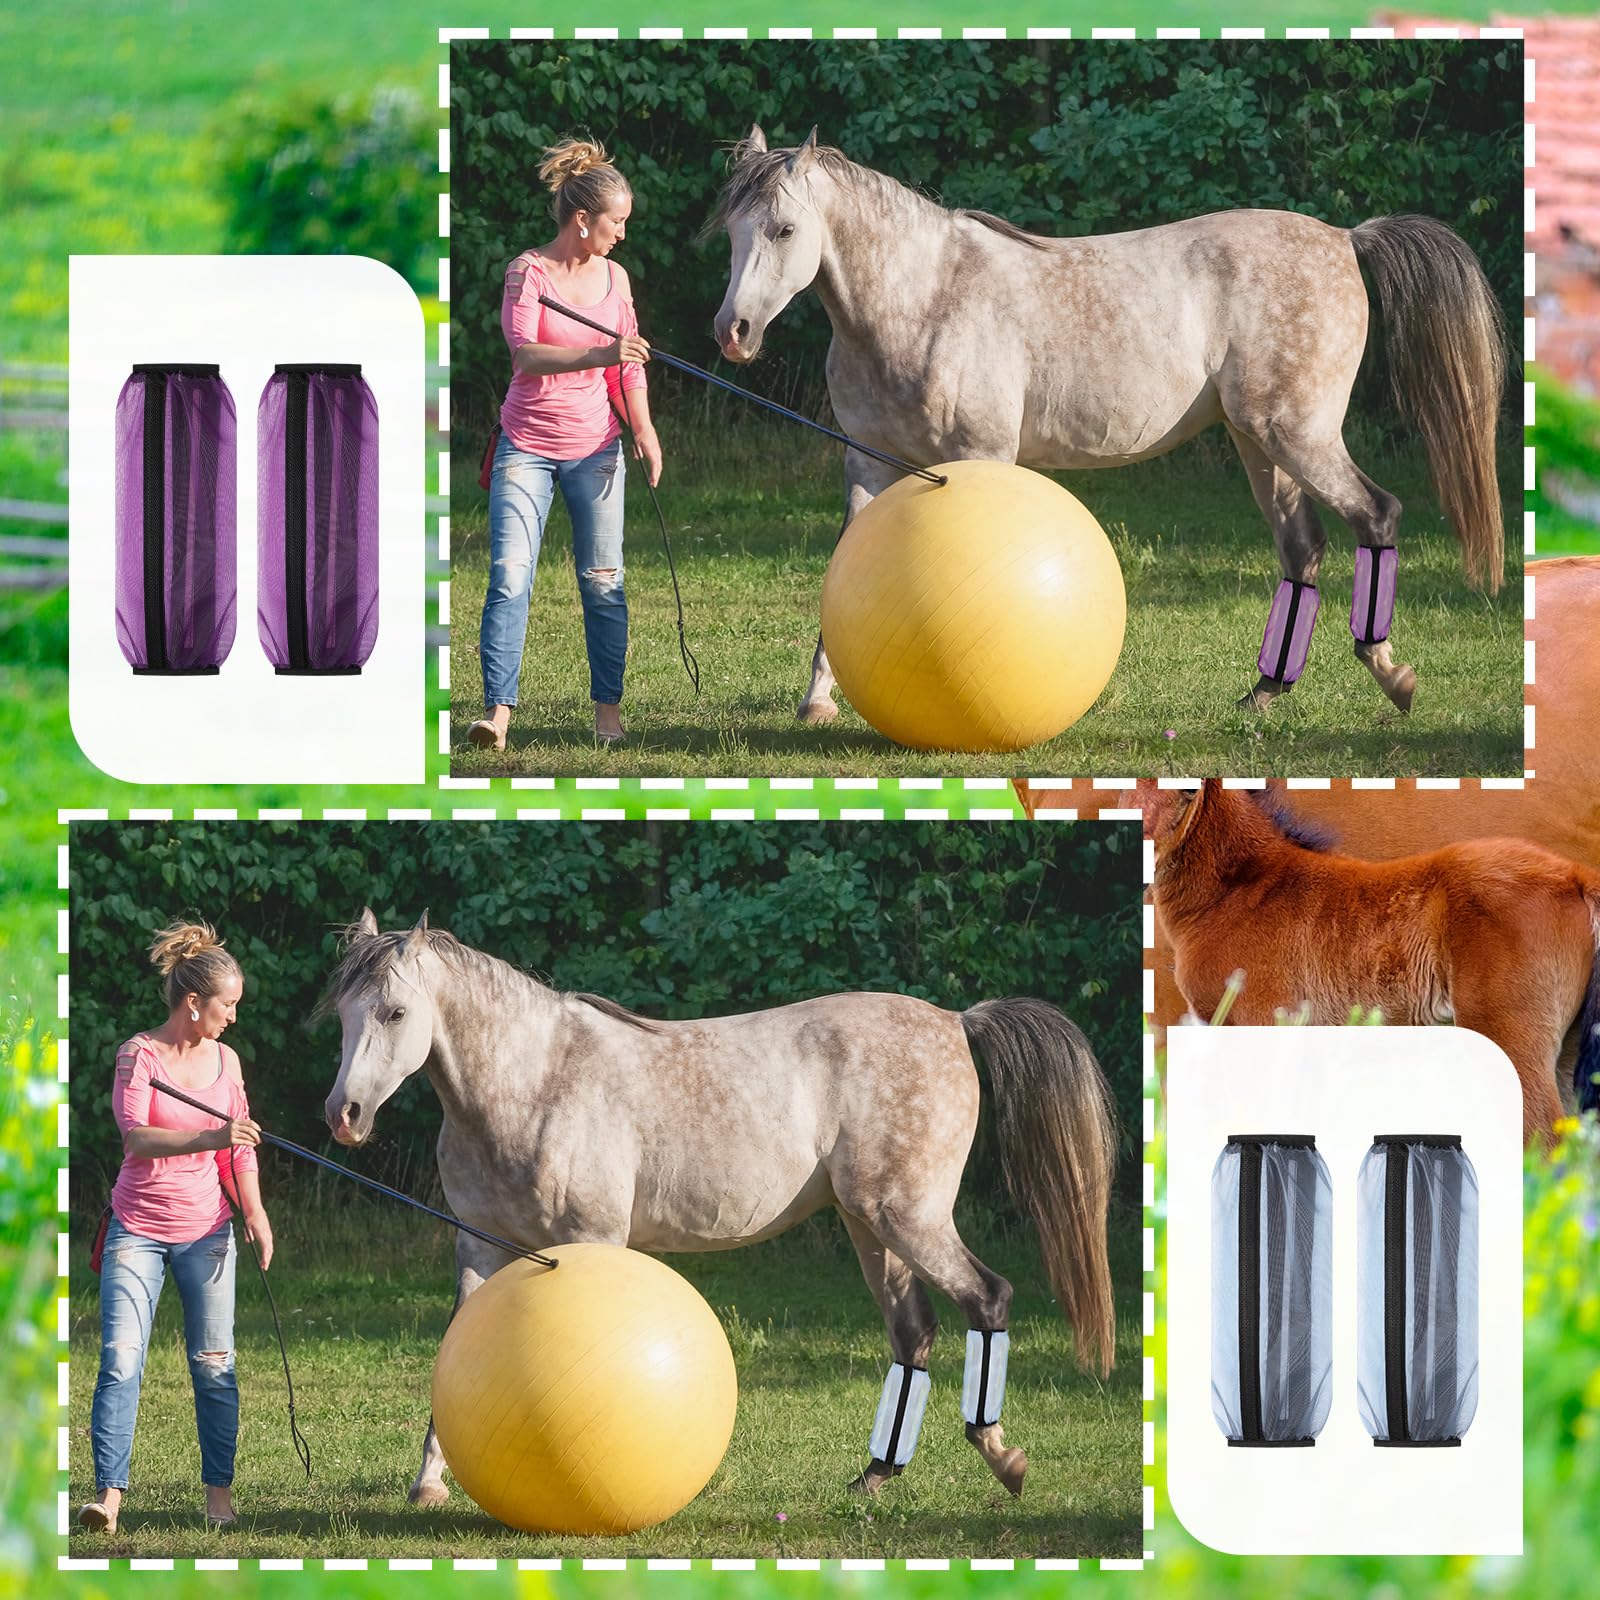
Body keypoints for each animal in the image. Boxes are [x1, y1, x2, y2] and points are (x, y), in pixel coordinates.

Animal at [317, 910, 1119, 1509]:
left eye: (396, 1011)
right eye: (343, 1015)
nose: (344, 1115)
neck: (534, 1082)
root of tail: (957, 1020)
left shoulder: (591, 1238)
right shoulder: (479, 1246)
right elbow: (453, 1350)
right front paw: (428, 1484)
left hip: (909, 1218)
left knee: (989, 1297)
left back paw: (1003, 1460)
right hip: (871, 1228)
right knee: (914, 1332)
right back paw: (874, 1477)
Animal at [709, 127, 1507, 723]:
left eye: (785, 229)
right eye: (733, 232)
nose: (733, 332)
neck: (923, 299)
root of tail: (1346, 237)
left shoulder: (979, 455)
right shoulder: (868, 463)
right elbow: (843, 566)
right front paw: (818, 700)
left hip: (1298, 435)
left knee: (1377, 513)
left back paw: (1391, 675)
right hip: (1260, 444)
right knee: (1303, 547)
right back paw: (1265, 692)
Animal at [1148, 780, 1600, 1146]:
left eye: (1188, 789)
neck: (1242, 889)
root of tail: (1575, 875)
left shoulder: (1261, 1030)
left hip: (1510, 1040)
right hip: (1564, 1051)